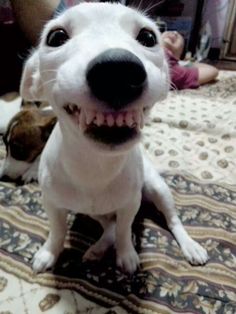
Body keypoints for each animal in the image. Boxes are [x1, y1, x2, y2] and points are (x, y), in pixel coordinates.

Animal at [20, 1, 208, 272]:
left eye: (148, 37)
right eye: (56, 37)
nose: (116, 69)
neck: (96, 165)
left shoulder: (130, 204)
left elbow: (124, 229)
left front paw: (126, 253)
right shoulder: (52, 203)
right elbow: (57, 230)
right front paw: (49, 252)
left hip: (157, 189)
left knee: (171, 220)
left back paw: (190, 245)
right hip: (95, 211)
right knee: (108, 226)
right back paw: (97, 249)